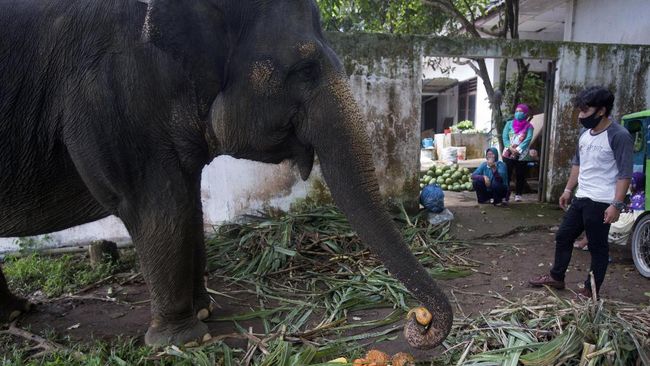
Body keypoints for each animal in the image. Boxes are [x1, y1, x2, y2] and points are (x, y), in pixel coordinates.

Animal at [0, 0, 454, 348]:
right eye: (305, 70)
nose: (419, 319)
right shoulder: (111, 96)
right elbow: (159, 209)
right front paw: (183, 340)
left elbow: (188, 204)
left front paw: (204, 312)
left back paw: (19, 311)